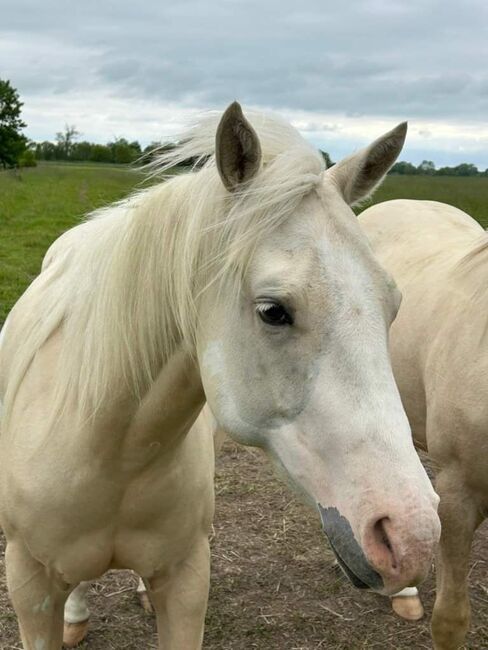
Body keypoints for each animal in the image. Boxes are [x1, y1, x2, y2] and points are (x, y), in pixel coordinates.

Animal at [0, 104, 440, 644]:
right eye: (273, 310)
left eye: (392, 304)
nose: (413, 537)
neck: (109, 454)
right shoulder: (29, 585)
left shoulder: (188, 580)